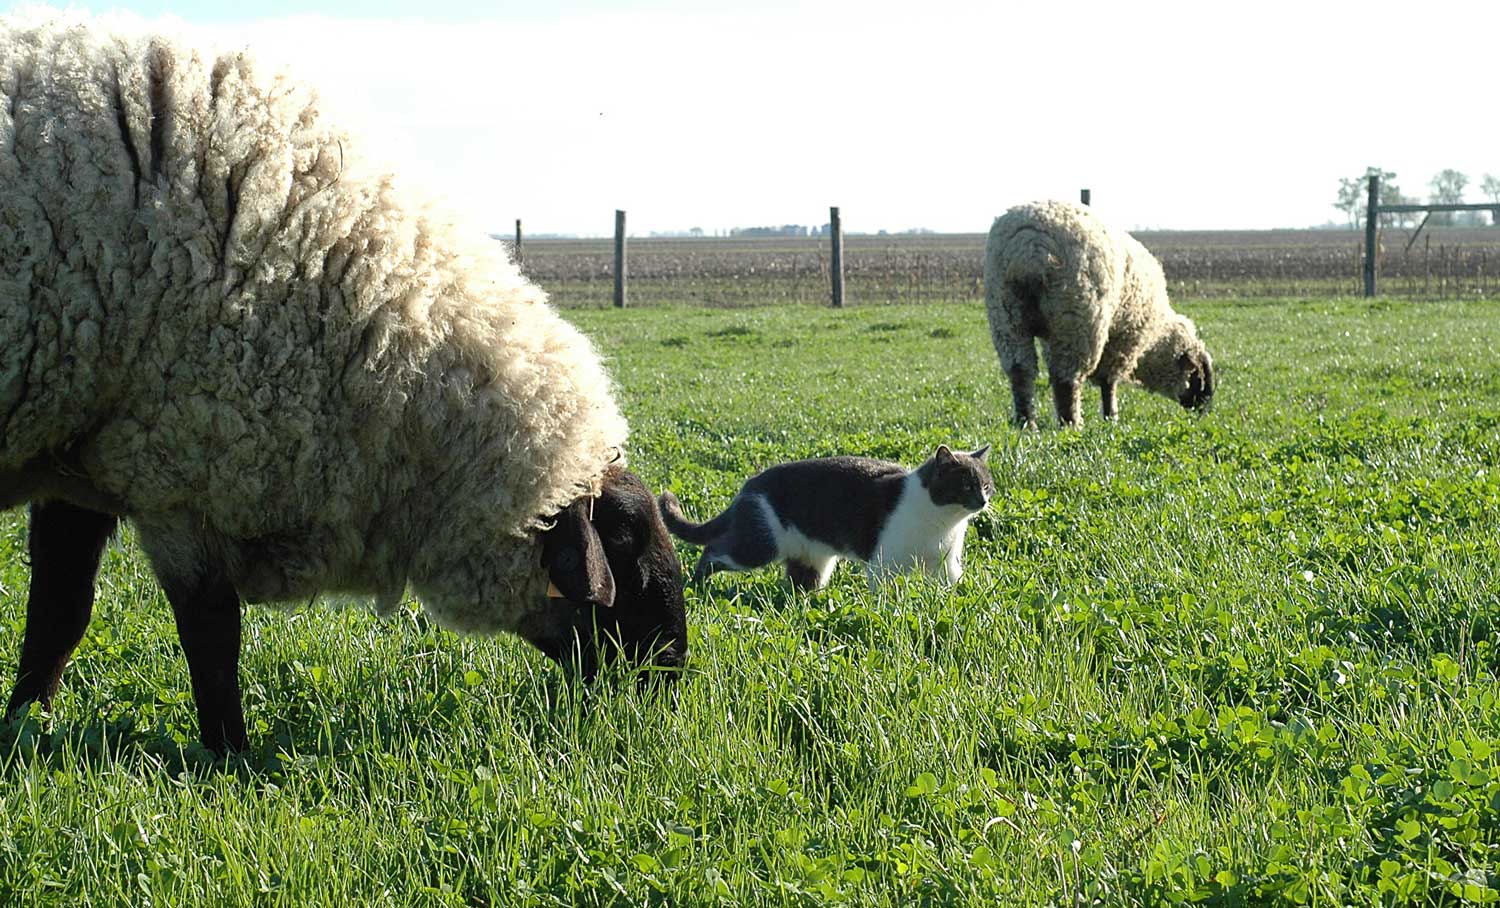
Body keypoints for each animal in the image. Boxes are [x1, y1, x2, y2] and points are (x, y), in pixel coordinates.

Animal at [0, 14, 686, 753]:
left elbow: (60, 610)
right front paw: (233, 757)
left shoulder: (89, 441)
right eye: (629, 552)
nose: (670, 686)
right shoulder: (179, 466)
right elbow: (210, 633)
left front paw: (22, 726)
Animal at [983, 200, 1214, 428]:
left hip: (1007, 316)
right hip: (1076, 319)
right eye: (1197, 375)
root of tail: (1030, 248)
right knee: (1066, 379)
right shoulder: (1123, 341)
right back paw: (1071, 424)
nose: (1203, 410)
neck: (1154, 340)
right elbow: (1108, 382)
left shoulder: (1051, 335)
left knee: (1021, 371)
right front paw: (1111, 418)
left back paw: (1026, 423)